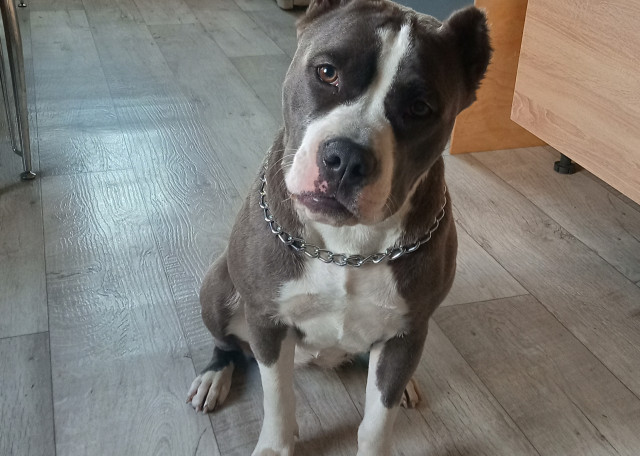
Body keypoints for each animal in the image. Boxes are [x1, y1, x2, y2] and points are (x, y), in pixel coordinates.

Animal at [187, 0, 491, 454]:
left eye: (421, 108)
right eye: (327, 72)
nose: (347, 158)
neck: (346, 247)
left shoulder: (407, 333)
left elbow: (378, 419)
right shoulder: (267, 321)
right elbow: (278, 399)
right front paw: (276, 444)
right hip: (218, 286)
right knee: (228, 345)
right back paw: (214, 374)